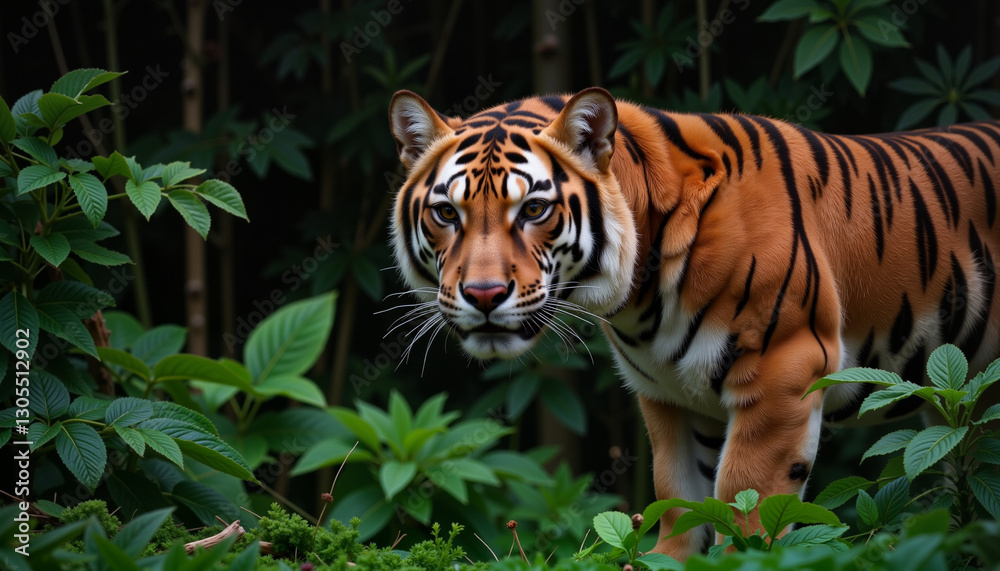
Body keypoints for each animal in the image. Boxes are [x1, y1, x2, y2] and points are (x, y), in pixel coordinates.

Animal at [386, 87, 1000, 559]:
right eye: (447, 213)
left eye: (534, 210)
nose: (484, 295)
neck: (639, 295)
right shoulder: (670, 393)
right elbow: (678, 494)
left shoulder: (786, 369)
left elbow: (744, 501)